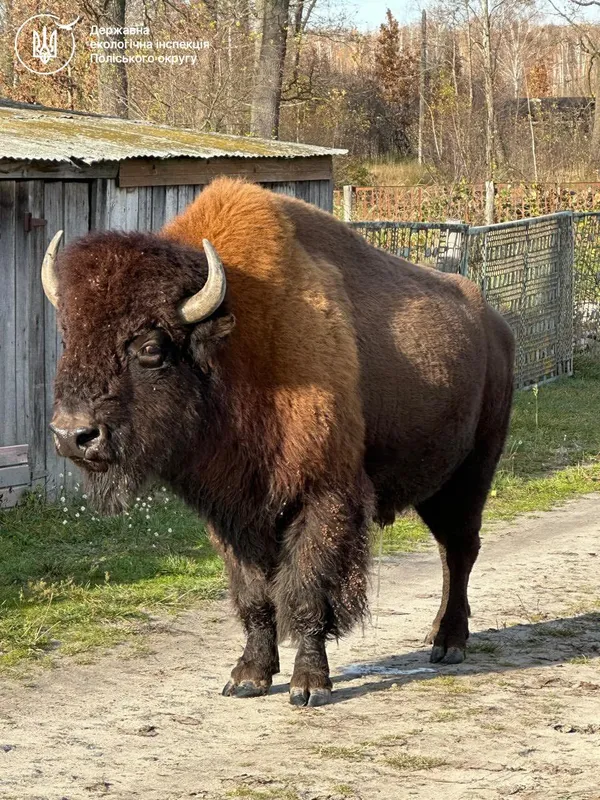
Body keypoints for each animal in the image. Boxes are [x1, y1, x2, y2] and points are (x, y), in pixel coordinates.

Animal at [41, 178, 515, 707]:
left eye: (150, 347)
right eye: (69, 337)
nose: (73, 435)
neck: (237, 346)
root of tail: (496, 326)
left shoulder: (323, 497)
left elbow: (306, 591)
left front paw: (309, 686)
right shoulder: (233, 512)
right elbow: (254, 595)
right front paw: (248, 676)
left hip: (471, 472)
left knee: (460, 549)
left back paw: (449, 643)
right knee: (450, 551)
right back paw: (436, 636)